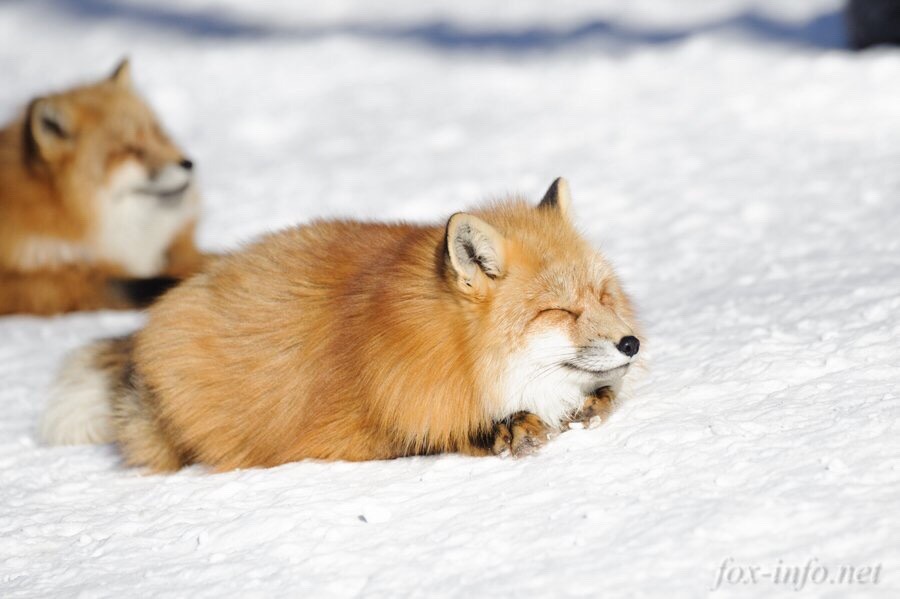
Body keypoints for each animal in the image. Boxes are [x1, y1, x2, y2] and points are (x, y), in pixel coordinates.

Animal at [42, 179, 640, 474]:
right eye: (559, 311)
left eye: (602, 295)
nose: (630, 343)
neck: (449, 352)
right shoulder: (355, 432)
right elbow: (433, 438)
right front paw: (509, 429)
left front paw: (592, 403)